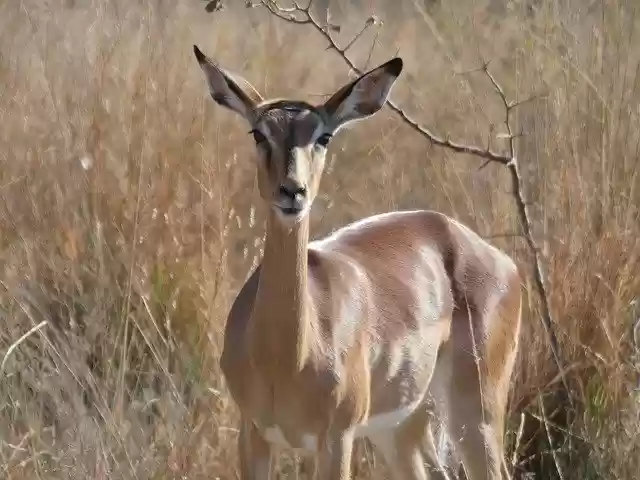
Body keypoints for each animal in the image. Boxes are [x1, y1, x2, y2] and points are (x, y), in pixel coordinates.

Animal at [193, 45, 522, 480]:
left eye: (324, 136)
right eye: (259, 133)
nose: (292, 191)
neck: (286, 357)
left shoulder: (338, 439)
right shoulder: (253, 435)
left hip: (475, 414)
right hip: (400, 428)